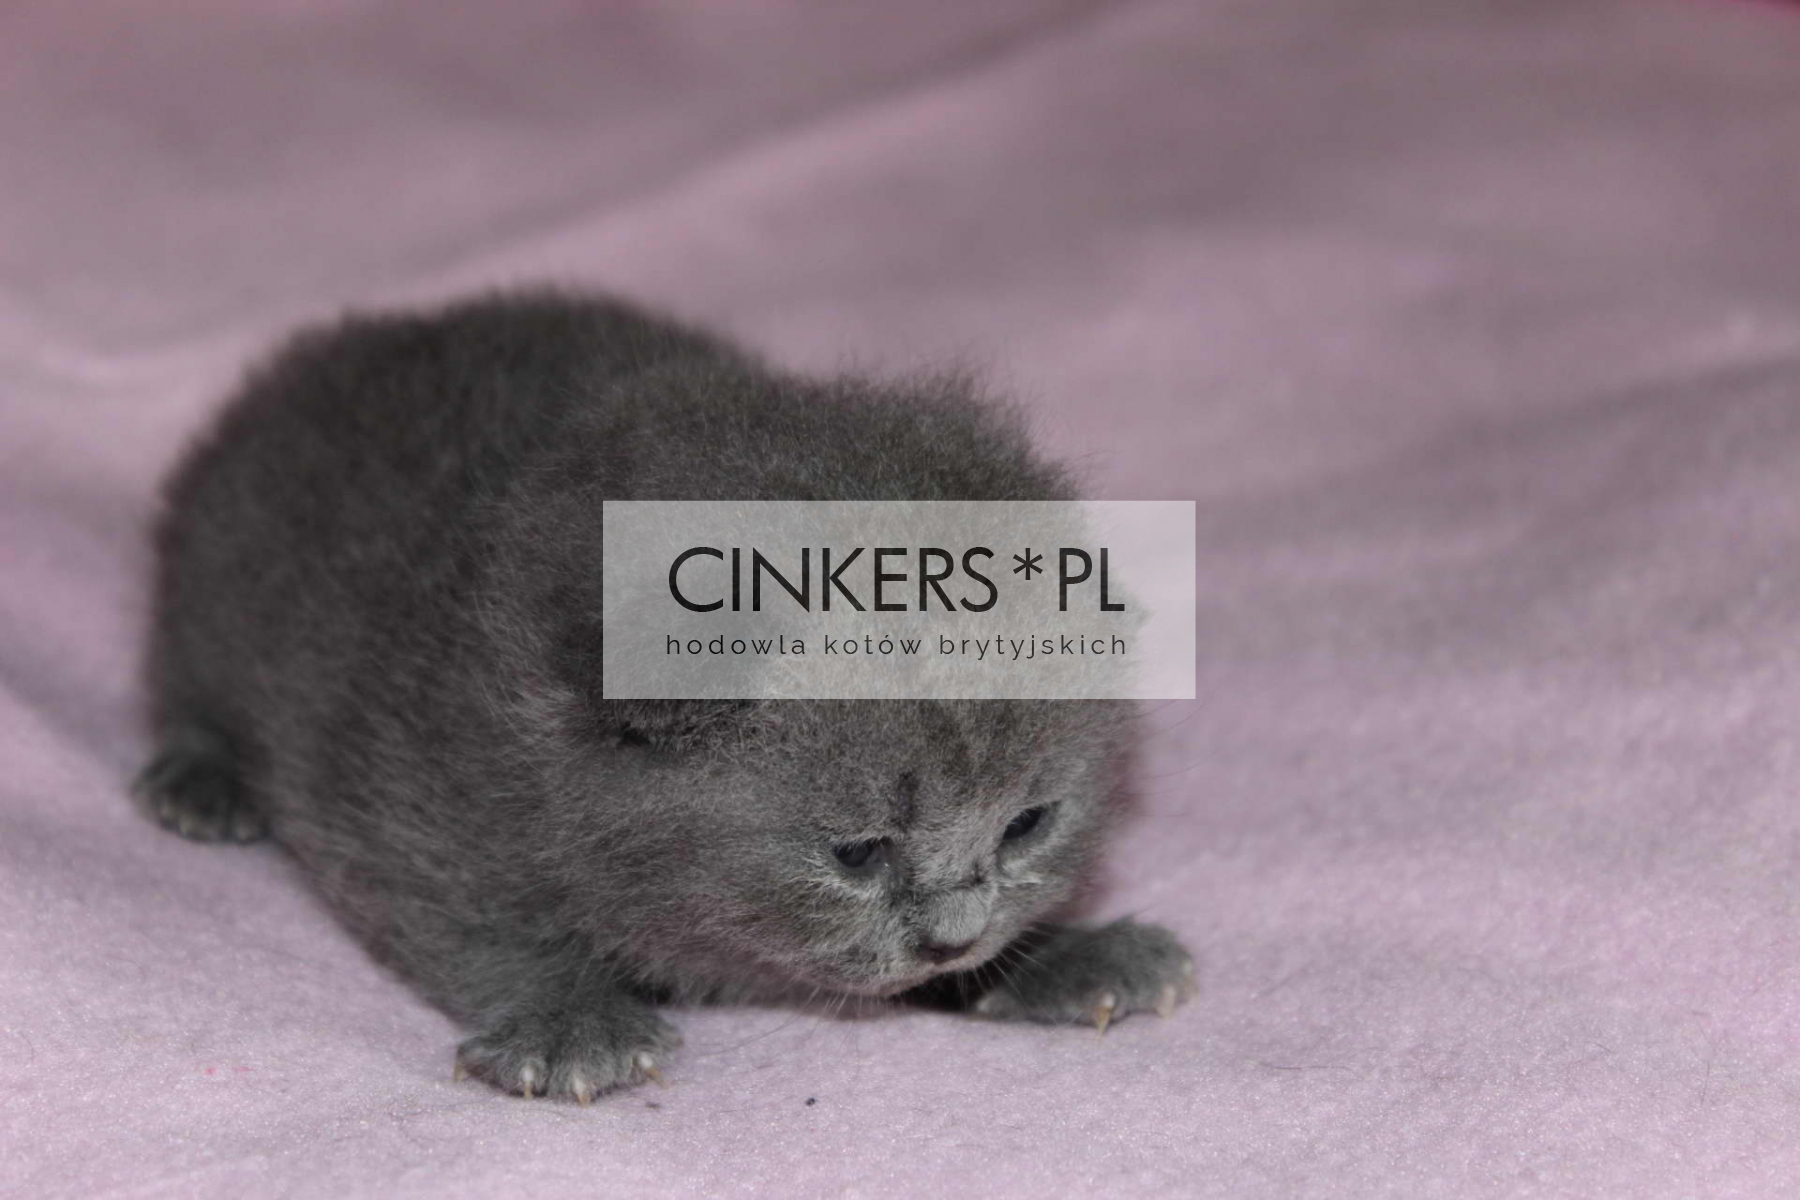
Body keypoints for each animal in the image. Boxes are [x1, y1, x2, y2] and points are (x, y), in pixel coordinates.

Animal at [134, 289, 1194, 1103]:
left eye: (1026, 826)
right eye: (856, 853)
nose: (951, 942)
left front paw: (1058, 957)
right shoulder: (401, 791)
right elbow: (471, 925)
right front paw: (568, 1021)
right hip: (212, 579)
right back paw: (201, 781)